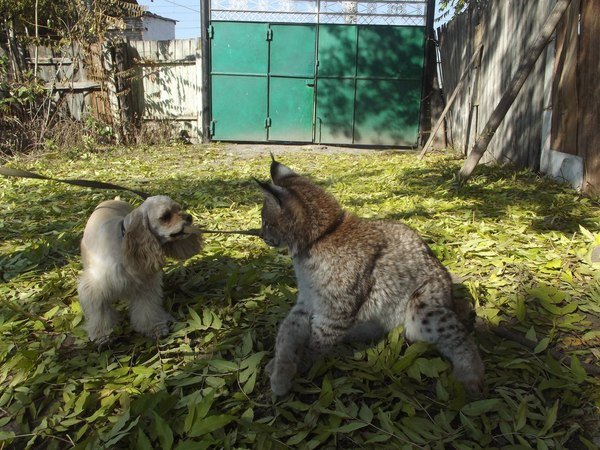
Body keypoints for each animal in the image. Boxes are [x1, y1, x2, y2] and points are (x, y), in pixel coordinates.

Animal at [256, 156, 482, 396]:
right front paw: (279, 366)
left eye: (266, 223)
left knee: (459, 334)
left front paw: (294, 370)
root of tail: (450, 294)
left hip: (421, 310)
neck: (317, 239)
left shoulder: (335, 312)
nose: (261, 235)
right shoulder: (308, 301)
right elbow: (286, 333)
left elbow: (314, 345)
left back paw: (471, 375)